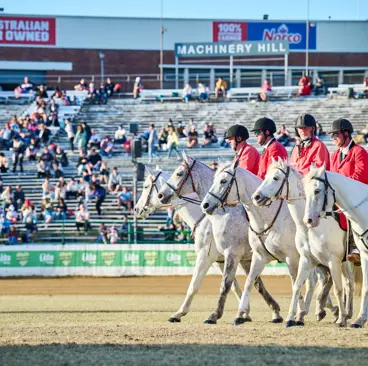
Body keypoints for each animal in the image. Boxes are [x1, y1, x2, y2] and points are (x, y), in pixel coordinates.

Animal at [134, 169, 278, 324]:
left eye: (146, 186)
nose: (136, 209)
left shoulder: (207, 256)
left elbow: (195, 284)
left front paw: (179, 313)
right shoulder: (224, 260)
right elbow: (243, 285)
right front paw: (250, 312)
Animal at [201, 160, 336, 326]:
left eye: (223, 181)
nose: (205, 205)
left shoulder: (291, 258)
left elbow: (295, 283)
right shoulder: (257, 257)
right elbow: (250, 282)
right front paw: (240, 315)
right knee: (322, 279)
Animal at [252, 159, 352, 328]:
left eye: (276, 178)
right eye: (265, 176)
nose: (257, 197)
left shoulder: (328, 260)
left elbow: (328, 286)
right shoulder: (307, 260)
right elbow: (298, 285)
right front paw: (294, 317)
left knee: (346, 283)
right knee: (347, 282)